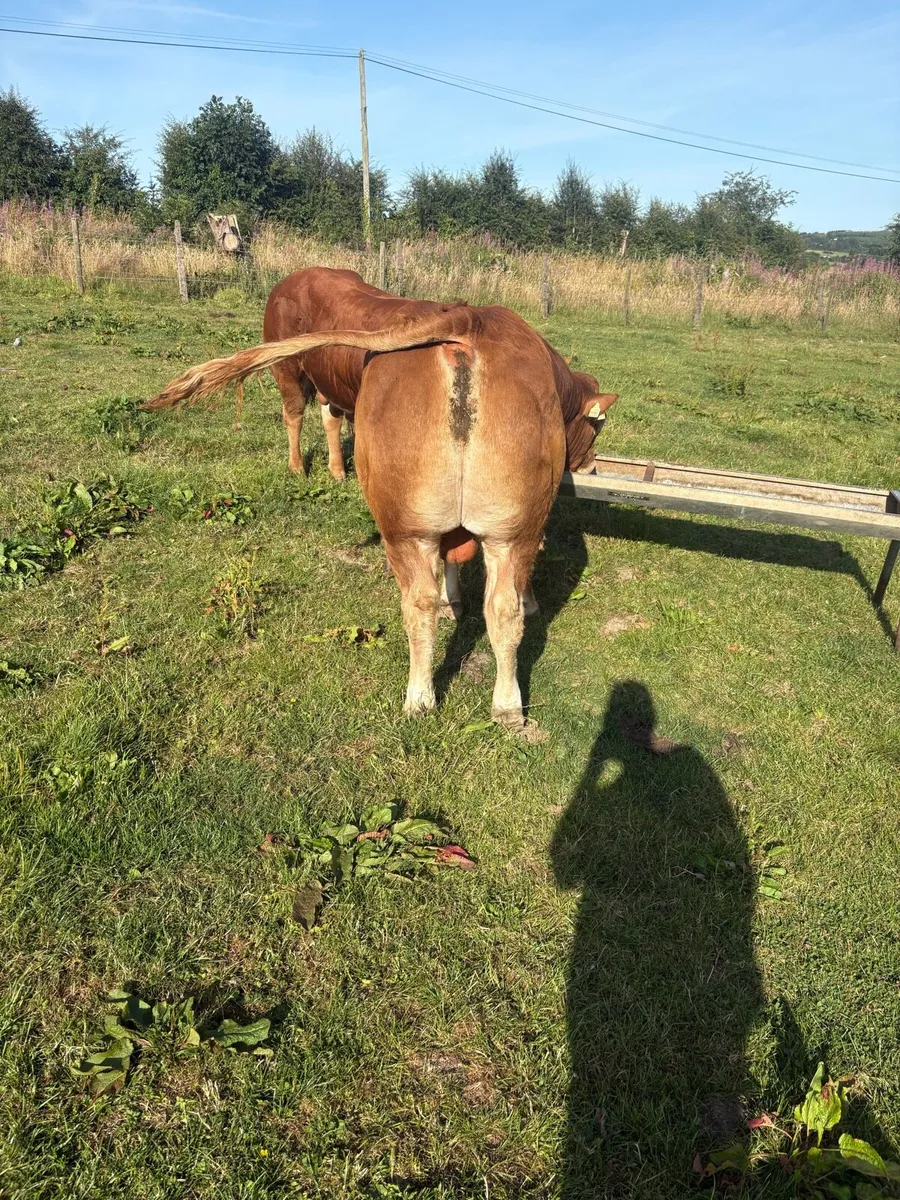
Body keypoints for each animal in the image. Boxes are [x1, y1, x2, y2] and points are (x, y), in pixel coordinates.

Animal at [143, 291, 618, 732]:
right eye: (595, 429)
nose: (589, 464)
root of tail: (469, 320)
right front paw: (461, 600)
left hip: (412, 527)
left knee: (423, 606)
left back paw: (423, 699)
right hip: (500, 529)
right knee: (498, 610)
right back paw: (503, 707)